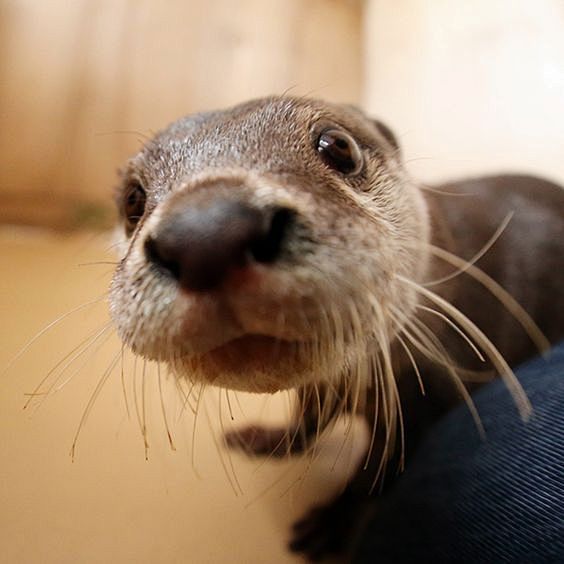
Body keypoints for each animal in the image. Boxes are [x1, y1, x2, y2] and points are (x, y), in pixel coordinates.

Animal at [108, 96, 560, 560]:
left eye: (338, 145)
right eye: (132, 200)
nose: (207, 231)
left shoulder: (429, 400)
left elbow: (374, 476)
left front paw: (331, 523)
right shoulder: (321, 389)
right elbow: (307, 421)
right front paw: (270, 441)